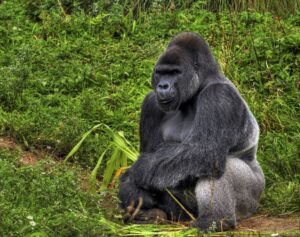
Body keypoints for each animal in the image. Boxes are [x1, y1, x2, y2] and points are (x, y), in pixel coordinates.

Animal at [118, 32, 264, 231]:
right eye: (160, 73)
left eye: (174, 72)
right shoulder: (151, 104)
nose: (162, 86)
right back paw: (152, 215)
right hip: (183, 213)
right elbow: (151, 155)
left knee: (215, 162)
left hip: (252, 198)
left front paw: (134, 174)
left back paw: (214, 220)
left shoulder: (219, 96)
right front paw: (130, 190)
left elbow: (205, 151)